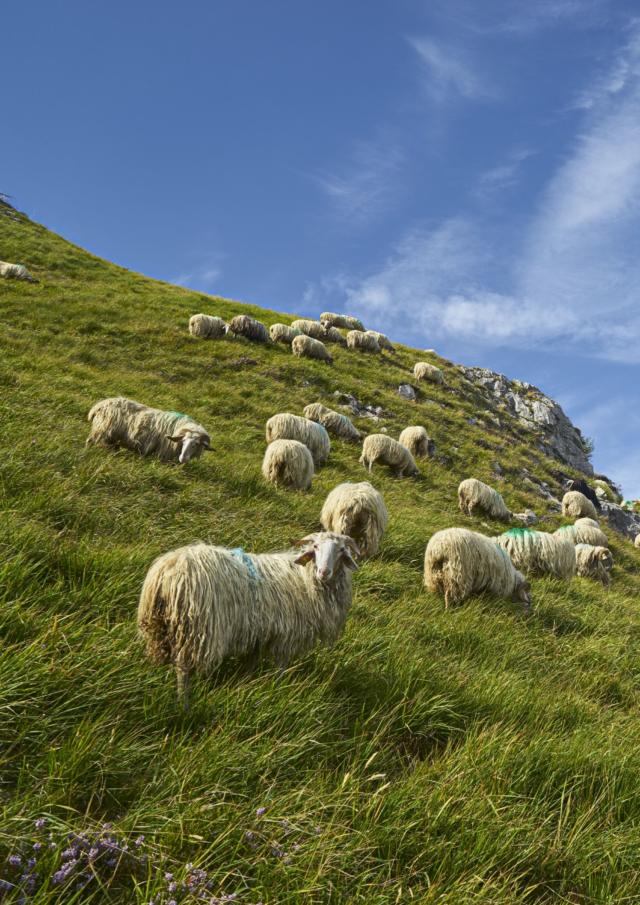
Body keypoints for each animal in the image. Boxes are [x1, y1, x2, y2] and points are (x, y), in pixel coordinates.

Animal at [138, 528, 360, 708]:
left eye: (341, 550)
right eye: (315, 546)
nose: (324, 572)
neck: (304, 578)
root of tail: (165, 572)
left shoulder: (258, 634)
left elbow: (251, 664)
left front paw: (247, 684)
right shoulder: (286, 636)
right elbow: (281, 667)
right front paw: (277, 690)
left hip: (162, 629)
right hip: (197, 629)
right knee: (182, 670)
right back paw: (184, 706)